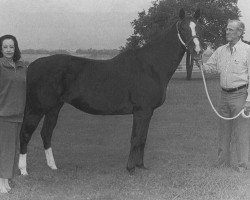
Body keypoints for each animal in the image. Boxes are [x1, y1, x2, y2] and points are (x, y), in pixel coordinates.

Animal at [18, 9, 203, 175]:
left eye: (199, 27)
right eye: (183, 28)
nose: (198, 51)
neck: (151, 66)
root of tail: (32, 65)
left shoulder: (148, 112)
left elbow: (143, 139)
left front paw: (141, 166)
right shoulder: (141, 111)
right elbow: (135, 138)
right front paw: (130, 168)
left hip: (54, 107)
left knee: (46, 133)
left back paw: (53, 166)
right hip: (37, 108)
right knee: (26, 133)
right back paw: (23, 171)